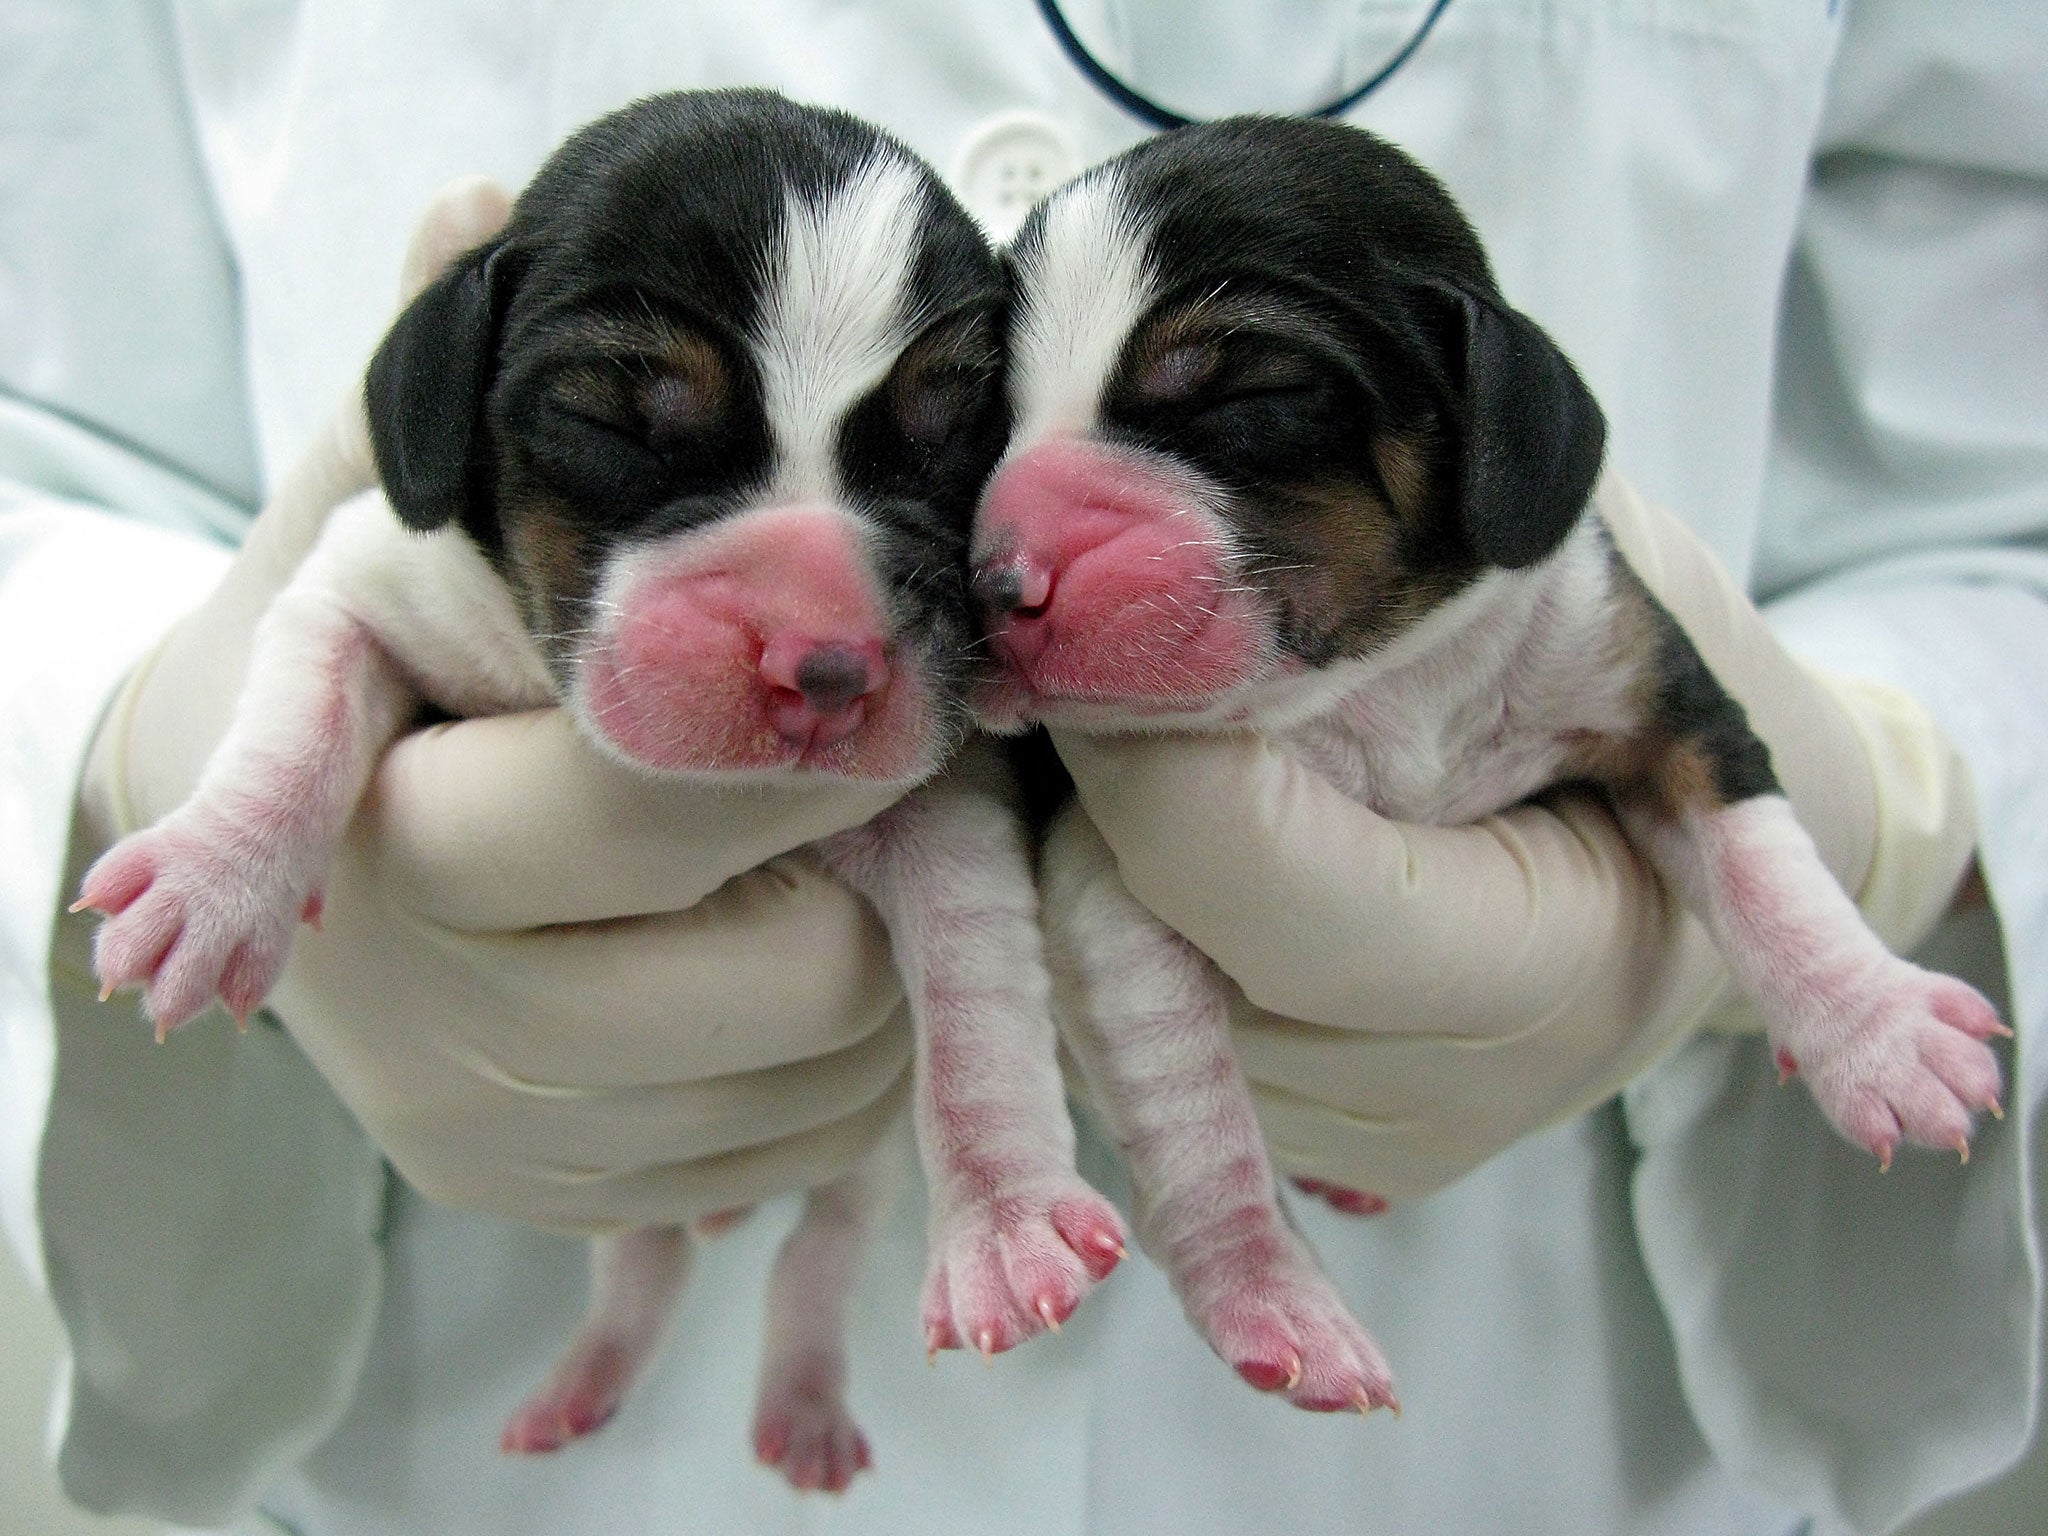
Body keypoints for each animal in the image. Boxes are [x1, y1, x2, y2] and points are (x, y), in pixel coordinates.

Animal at [75, 90, 1122, 1499]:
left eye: (950, 433)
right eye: (619, 424)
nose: (827, 665)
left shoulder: (940, 794)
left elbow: (970, 995)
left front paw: (1006, 1213)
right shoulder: (366, 583)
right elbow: (303, 704)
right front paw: (212, 877)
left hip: (845, 1166)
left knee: (816, 1251)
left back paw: (798, 1392)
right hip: (615, 1174)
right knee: (646, 1252)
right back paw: (588, 1376)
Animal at [966, 117, 2007, 1417]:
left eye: (1251, 392)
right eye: (986, 418)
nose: (990, 583)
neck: (1375, 684)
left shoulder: (1650, 682)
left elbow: (1762, 859)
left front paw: (1879, 1029)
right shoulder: (1114, 864)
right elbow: (1188, 1099)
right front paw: (1270, 1291)